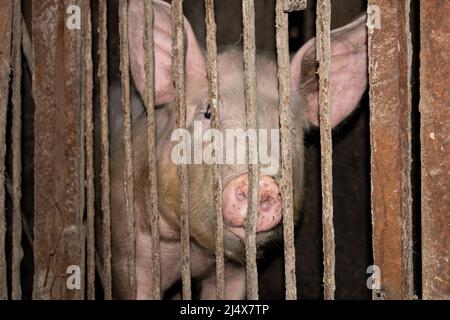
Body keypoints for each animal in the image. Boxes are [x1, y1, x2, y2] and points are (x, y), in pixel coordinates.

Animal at [104, 0, 370, 300]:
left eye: (286, 125)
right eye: (208, 113)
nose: (260, 183)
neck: (199, 252)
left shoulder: (238, 271)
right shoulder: (126, 253)